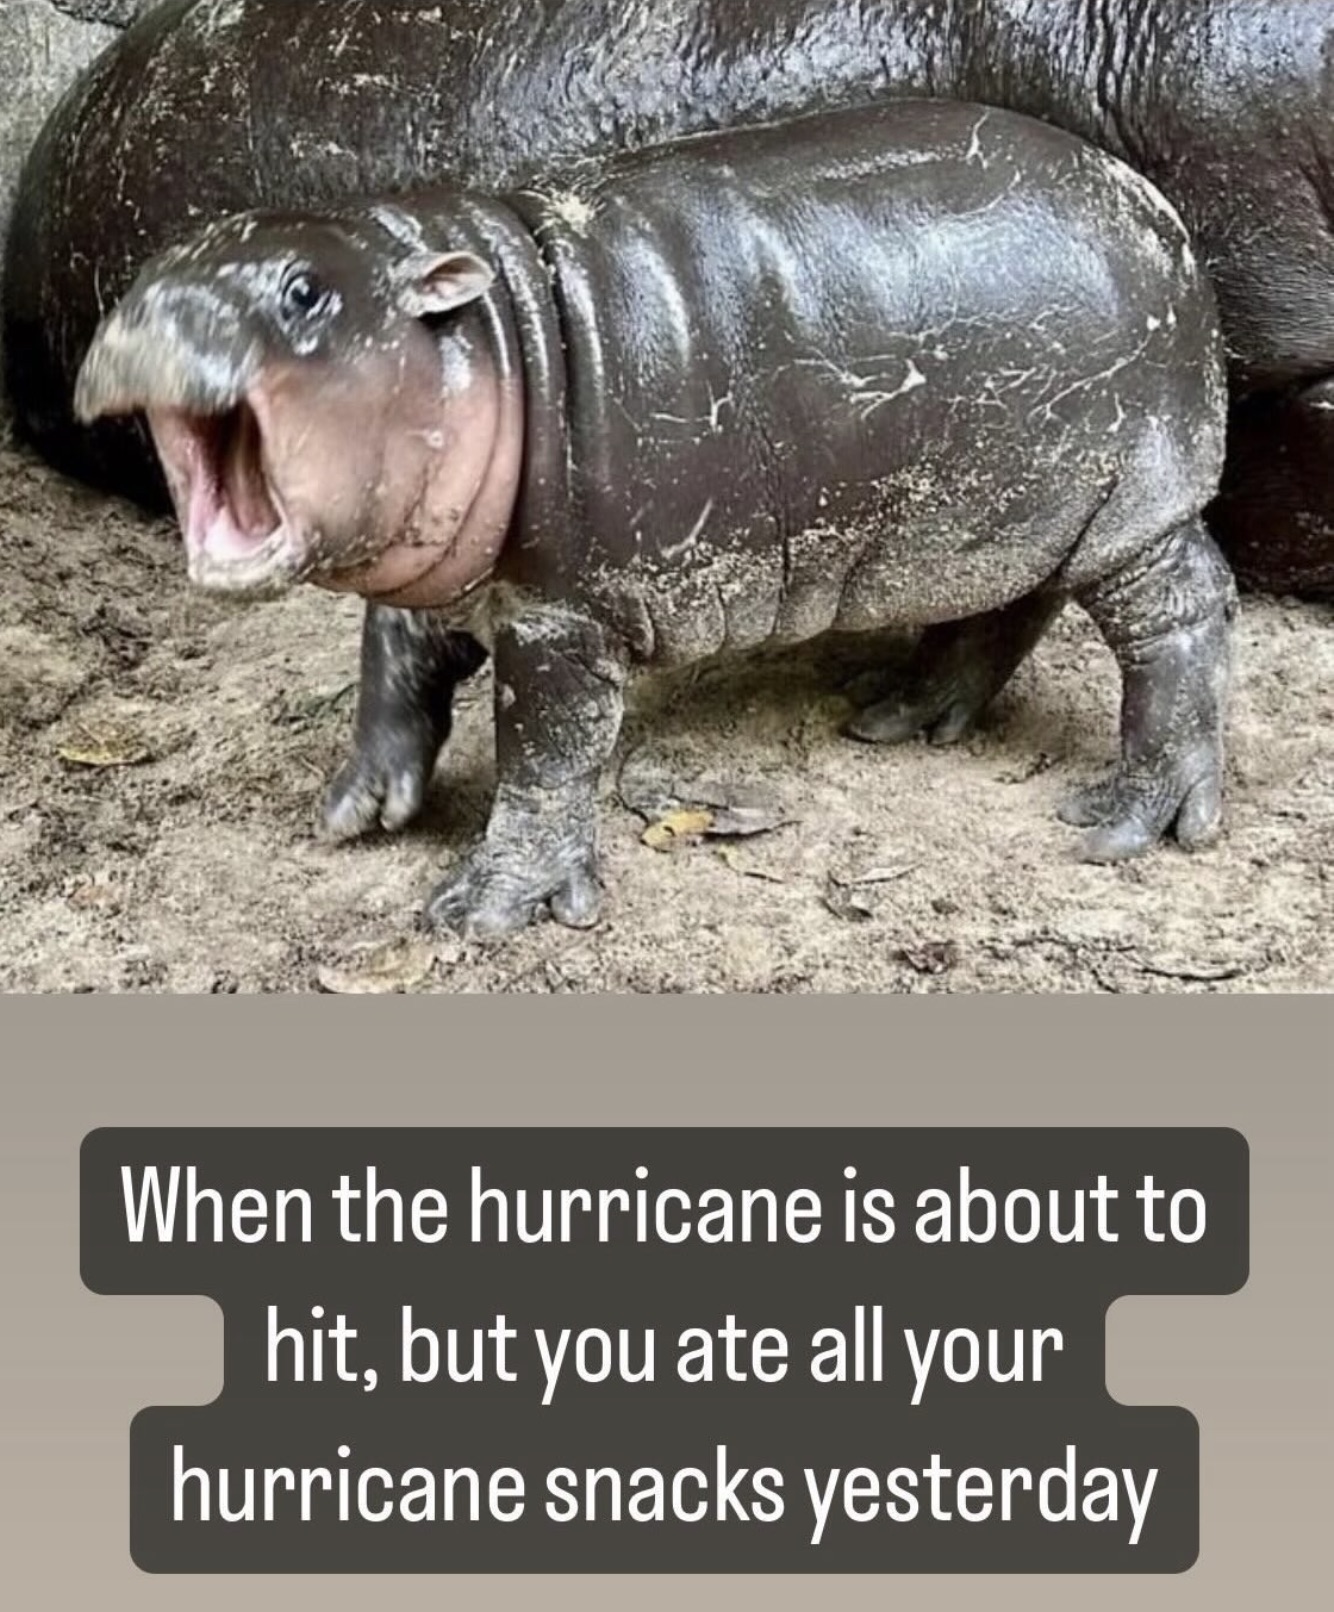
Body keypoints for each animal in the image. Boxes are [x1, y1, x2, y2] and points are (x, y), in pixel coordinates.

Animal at [80, 100, 1230, 941]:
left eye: (304, 291)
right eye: (148, 272)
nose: (146, 319)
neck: (489, 336)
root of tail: (1160, 212)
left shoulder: (560, 616)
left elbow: (547, 753)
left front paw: (484, 911)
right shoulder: (439, 570)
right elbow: (392, 669)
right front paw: (356, 809)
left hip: (1132, 506)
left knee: (1182, 615)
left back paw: (1128, 822)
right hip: (987, 516)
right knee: (1004, 607)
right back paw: (895, 710)